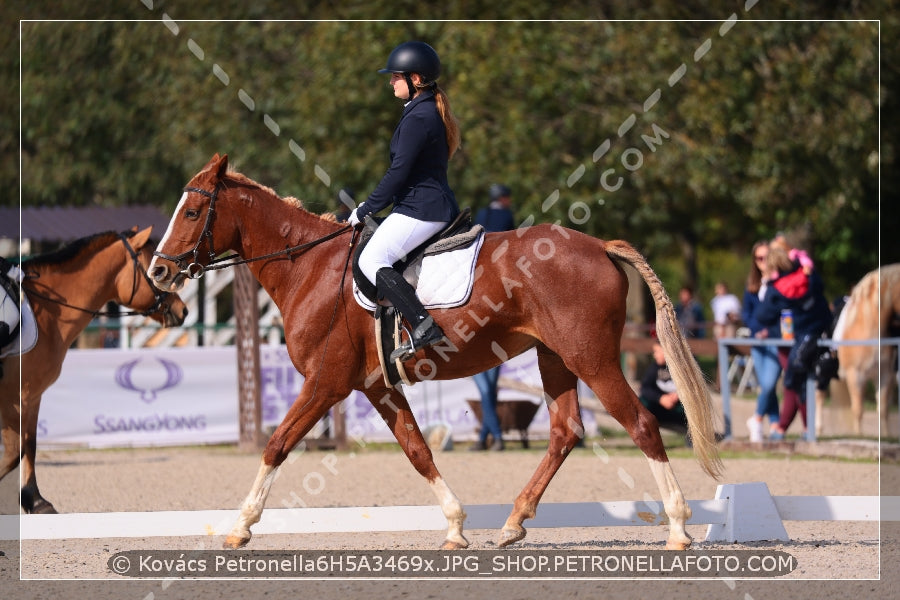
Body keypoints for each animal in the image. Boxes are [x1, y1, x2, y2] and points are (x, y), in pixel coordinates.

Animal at [0, 225, 187, 510]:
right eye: (154, 270)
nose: (183, 310)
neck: (49, 313)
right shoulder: (16, 397)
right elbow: (14, 452)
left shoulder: (31, 396)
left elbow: (29, 444)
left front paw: (36, 500)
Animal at [149, 154, 724, 548]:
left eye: (193, 211)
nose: (156, 271)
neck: (310, 269)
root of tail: (599, 245)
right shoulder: (375, 387)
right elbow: (417, 450)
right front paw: (455, 526)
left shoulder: (326, 383)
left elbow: (277, 444)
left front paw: (240, 526)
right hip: (555, 358)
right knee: (565, 431)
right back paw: (513, 523)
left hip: (593, 359)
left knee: (641, 424)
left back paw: (678, 528)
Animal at [828, 264, 900, 438]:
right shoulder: (855, 375)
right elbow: (858, 409)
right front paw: (858, 435)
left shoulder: (885, 376)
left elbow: (883, 410)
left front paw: (886, 436)